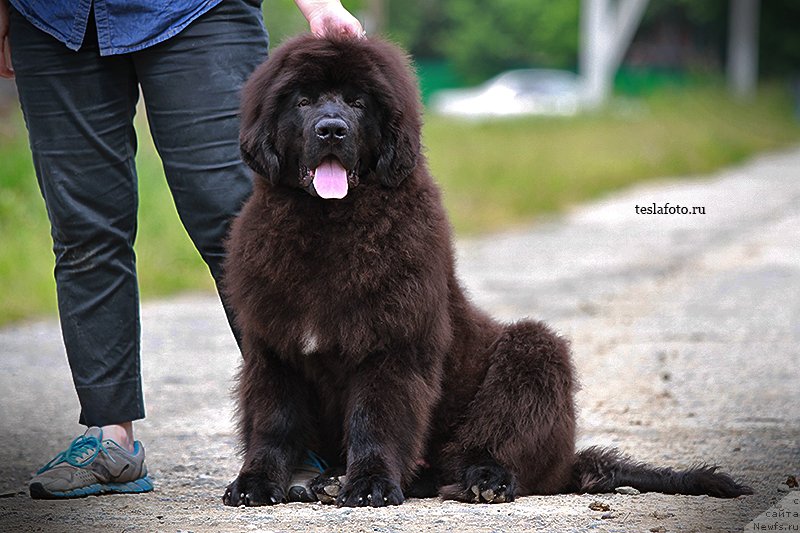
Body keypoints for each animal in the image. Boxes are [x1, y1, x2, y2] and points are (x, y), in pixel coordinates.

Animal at [220, 33, 752, 508]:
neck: (328, 225)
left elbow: (376, 419)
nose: (332, 128)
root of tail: (568, 463)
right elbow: (272, 422)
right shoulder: (275, 348)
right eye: (303, 101)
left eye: (357, 101)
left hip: (533, 355)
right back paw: (332, 480)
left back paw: (485, 480)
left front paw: (370, 485)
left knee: (496, 443)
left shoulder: (393, 345)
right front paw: (255, 484)